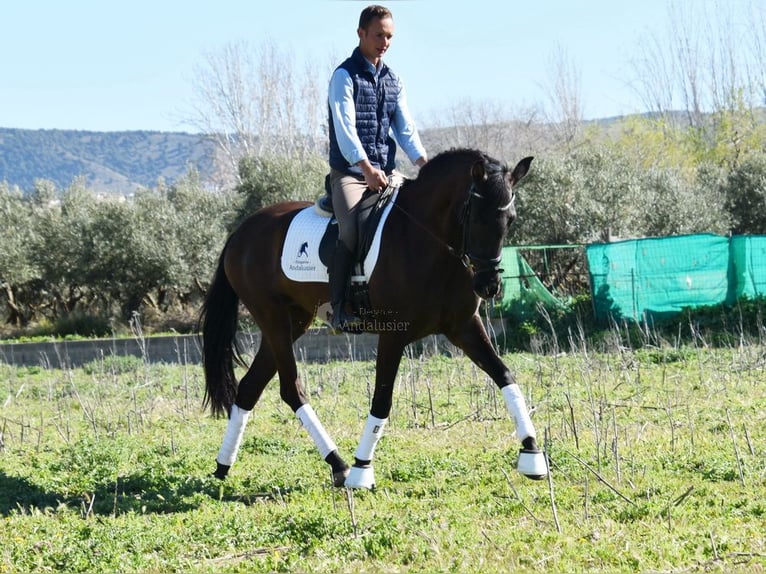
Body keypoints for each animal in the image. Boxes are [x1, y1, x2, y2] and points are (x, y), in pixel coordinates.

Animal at [199, 148, 548, 490]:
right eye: (473, 216)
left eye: (510, 219)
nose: (489, 285)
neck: (428, 240)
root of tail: (241, 232)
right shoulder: (394, 334)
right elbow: (382, 399)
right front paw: (361, 469)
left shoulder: (464, 326)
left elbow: (504, 375)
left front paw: (532, 454)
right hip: (272, 318)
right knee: (290, 389)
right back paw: (339, 464)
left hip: (292, 321)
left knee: (250, 387)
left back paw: (223, 466)